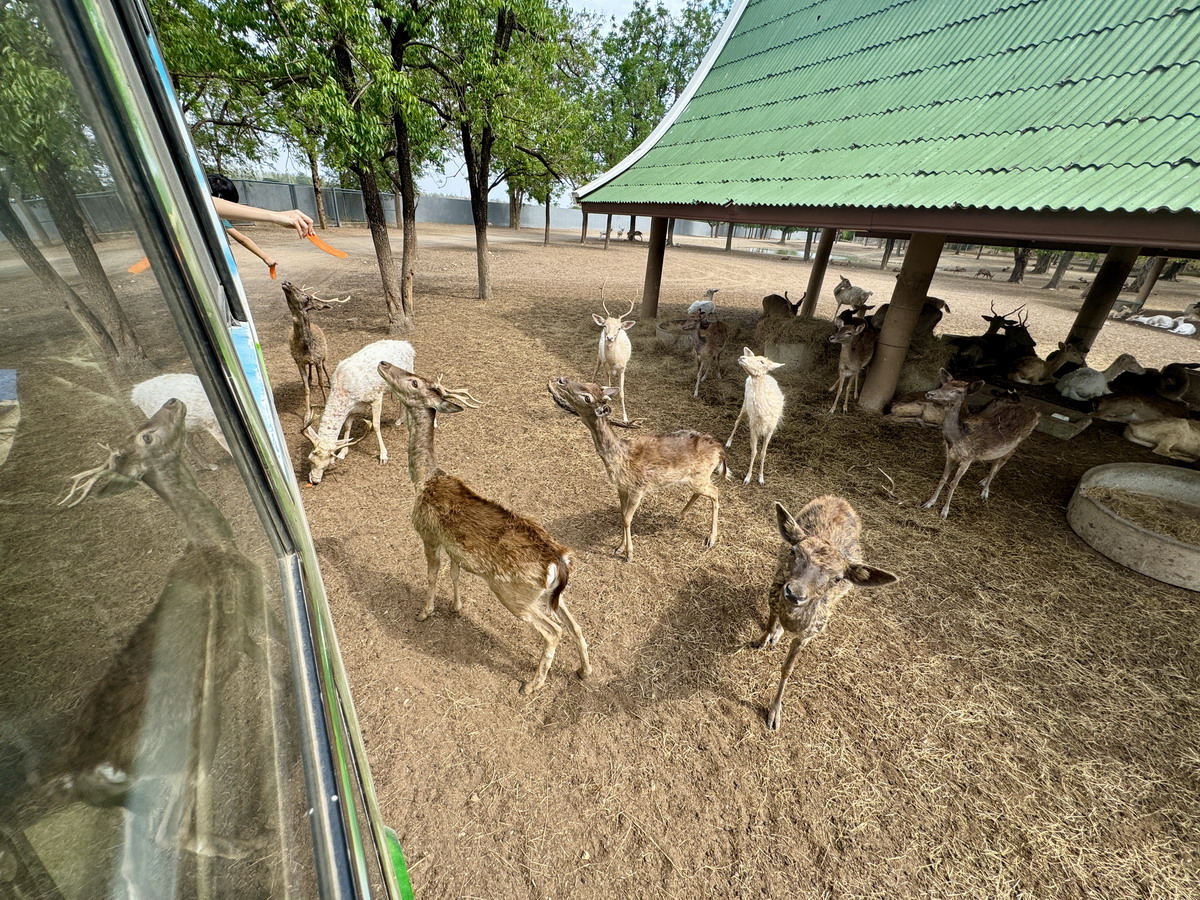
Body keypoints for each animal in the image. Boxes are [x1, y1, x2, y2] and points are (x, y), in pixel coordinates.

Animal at [376, 362, 592, 696]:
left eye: (413, 382)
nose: (384, 363)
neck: (423, 479)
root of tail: (559, 562)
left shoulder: (428, 533)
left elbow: (432, 575)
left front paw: (425, 612)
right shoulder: (454, 547)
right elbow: (454, 574)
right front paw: (457, 607)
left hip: (513, 592)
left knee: (553, 631)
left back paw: (532, 685)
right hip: (552, 596)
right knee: (576, 625)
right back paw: (584, 670)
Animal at [549, 374, 724, 561]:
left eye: (587, 397)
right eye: (589, 382)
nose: (561, 380)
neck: (619, 458)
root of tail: (719, 449)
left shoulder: (638, 488)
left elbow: (627, 519)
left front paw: (629, 554)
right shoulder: (621, 487)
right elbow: (622, 515)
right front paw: (619, 548)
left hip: (701, 476)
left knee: (715, 491)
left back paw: (711, 539)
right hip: (696, 478)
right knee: (702, 492)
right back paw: (679, 515)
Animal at [720, 348, 787, 487]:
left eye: (761, 361)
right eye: (754, 356)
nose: (742, 357)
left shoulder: (770, 429)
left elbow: (763, 453)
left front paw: (761, 479)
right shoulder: (753, 427)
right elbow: (754, 451)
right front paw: (747, 478)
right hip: (745, 404)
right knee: (737, 420)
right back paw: (728, 443)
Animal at [753, 496, 897, 734]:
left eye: (837, 578)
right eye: (794, 552)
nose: (794, 593)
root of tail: (840, 499)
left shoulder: (810, 632)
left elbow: (788, 668)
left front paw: (775, 714)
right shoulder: (774, 591)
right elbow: (770, 619)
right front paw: (761, 640)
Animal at [921, 367, 1046, 520]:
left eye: (958, 391)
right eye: (943, 385)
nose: (930, 393)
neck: (957, 438)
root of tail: (1035, 413)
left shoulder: (968, 458)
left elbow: (954, 483)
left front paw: (945, 511)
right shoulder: (950, 454)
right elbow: (943, 478)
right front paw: (929, 502)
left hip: (1017, 442)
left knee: (1000, 462)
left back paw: (985, 491)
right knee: (998, 462)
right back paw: (984, 482)